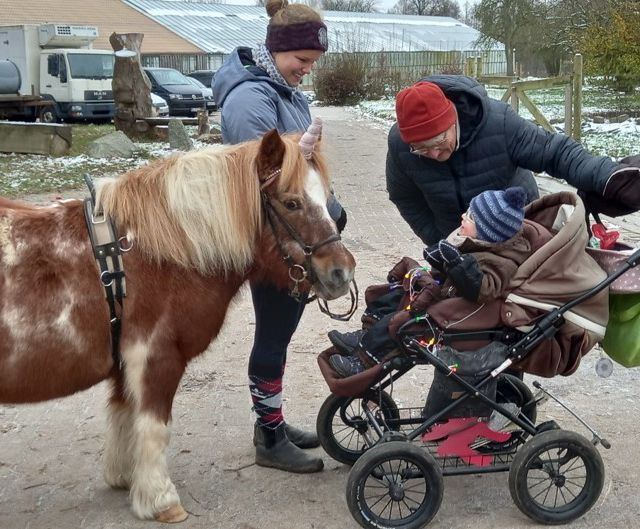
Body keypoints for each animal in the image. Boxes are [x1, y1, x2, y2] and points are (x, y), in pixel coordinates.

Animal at [0, 121, 356, 520]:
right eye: (292, 202)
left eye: (325, 197)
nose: (341, 271)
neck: (146, 256)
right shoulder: (155, 357)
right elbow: (153, 427)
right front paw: (160, 499)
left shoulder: (124, 364)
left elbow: (125, 416)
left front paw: (127, 477)